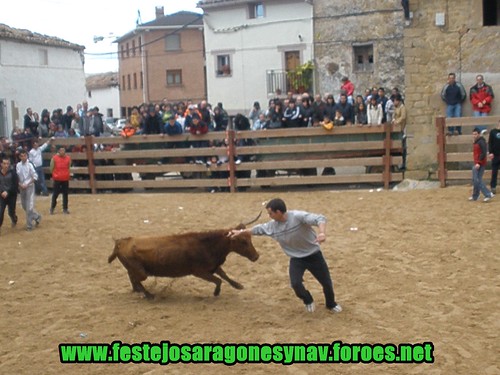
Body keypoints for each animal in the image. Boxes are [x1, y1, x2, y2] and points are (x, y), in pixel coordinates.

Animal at [108, 226, 260, 300]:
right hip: (142, 272)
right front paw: (216, 293)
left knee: (131, 276)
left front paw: (238, 285)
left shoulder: (213, 266)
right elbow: (219, 280)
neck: (207, 245)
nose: (256, 256)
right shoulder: (199, 272)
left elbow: (224, 275)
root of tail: (121, 242)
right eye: (243, 241)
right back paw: (148, 295)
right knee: (136, 279)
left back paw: (137, 291)